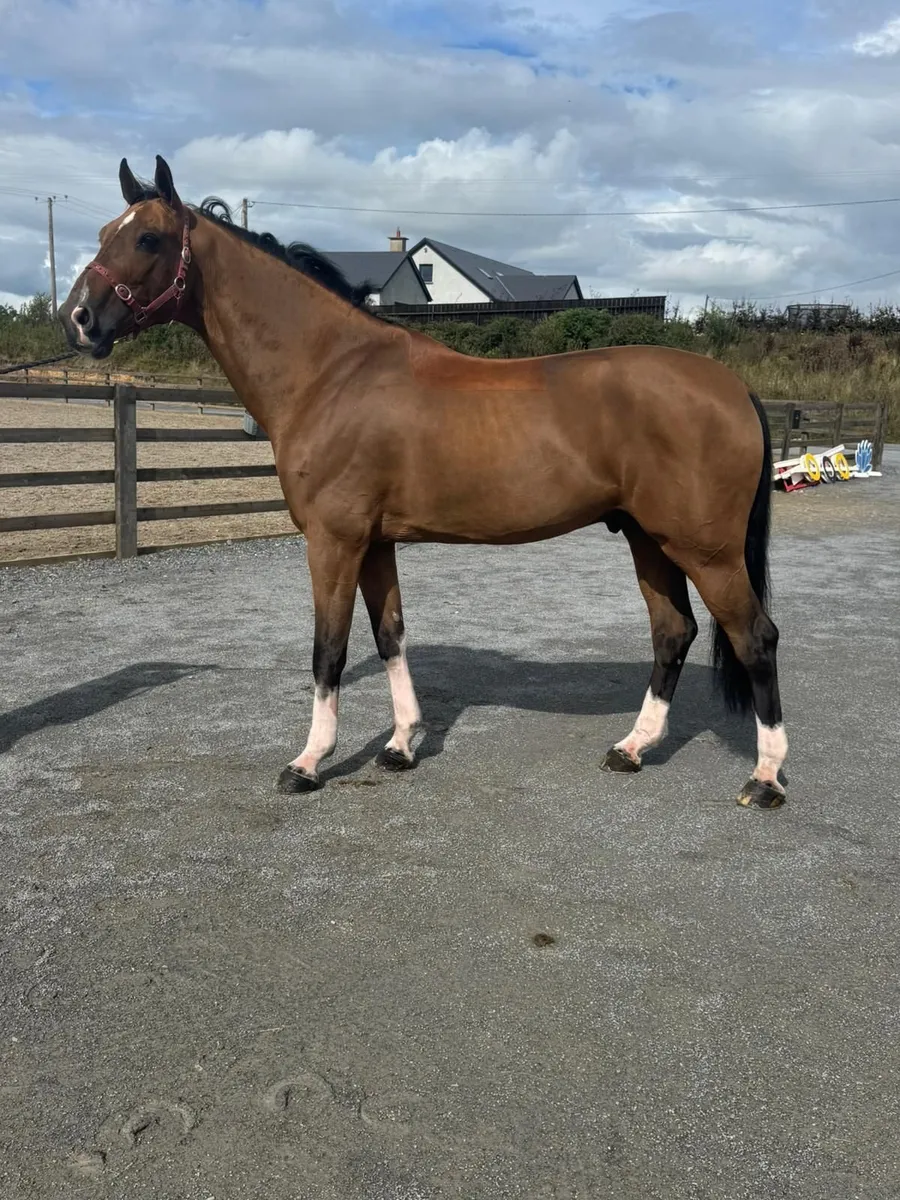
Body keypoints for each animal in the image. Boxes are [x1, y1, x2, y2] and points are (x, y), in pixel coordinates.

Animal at [58, 155, 788, 809]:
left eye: (146, 238)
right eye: (103, 231)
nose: (77, 319)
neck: (332, 371)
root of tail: (733, 387)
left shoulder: (333, 541)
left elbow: (328, 650)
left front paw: (308, 763)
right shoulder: (375, 542)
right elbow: (391, 638)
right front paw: (402, 746)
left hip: (705, 549)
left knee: (755, 638)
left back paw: (766, 779)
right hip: (648, 538)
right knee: (673, 633)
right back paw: (633, 749)